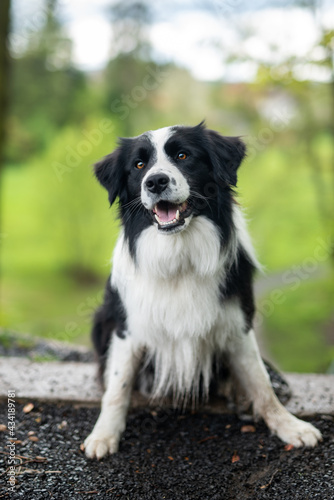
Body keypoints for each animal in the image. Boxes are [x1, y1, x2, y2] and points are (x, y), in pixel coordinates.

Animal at [83, 121, 320, 458]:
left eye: (183, 155)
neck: (179, 255)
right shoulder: (127, 327)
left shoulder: (237, 323)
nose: (155, 182)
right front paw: (104, 434)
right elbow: (118, 386)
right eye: (139, 165)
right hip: (101, 319)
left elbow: (261, 382)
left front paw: (289, 426)